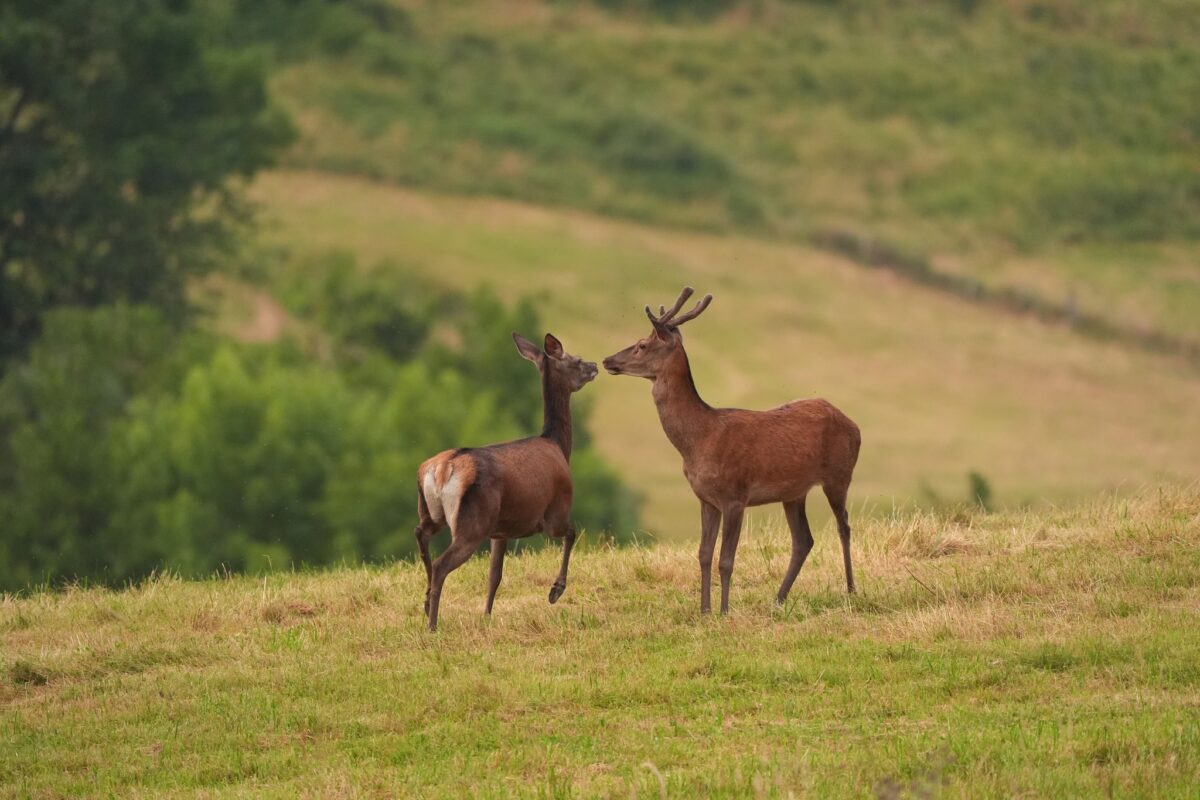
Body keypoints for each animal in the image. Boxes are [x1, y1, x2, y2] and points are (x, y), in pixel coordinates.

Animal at [414, 333, 598, 631]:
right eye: (575, 360)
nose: (594, 365)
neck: (559, 446)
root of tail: (442, 468)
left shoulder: (500, 531)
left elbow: (495, 575)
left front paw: (487, 616)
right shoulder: (554, 511)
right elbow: (573, 532)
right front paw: (555, 590)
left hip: (434, 511)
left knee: (421, 534)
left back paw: (427, 602)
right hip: (472, 523)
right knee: (442, 563)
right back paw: (432, 625)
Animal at [603, 287, 861, 615]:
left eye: (642, 345)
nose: (607, 360)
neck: (699, 440)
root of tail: (854, 424)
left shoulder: (736, 495)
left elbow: (726, 560)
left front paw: (724, 611)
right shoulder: (706, 498)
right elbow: (703, 554)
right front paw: (704, 611)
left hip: (839, 474)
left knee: (844, 527)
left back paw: (851, 590)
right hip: (794, 492)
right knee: (804, 540)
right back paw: (778, 599)